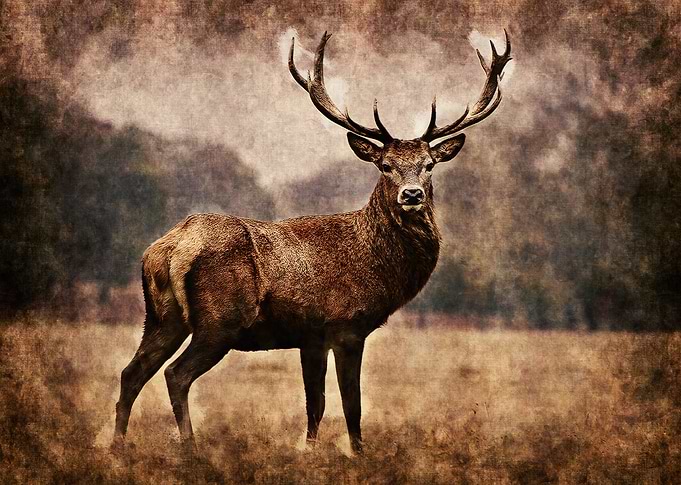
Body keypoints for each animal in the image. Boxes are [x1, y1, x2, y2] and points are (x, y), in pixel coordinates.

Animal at [113, 31, 512, 455]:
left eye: (429, 165)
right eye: (385, 165)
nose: (412, 194)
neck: (377, 266)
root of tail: (169, 249)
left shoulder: (311, 336)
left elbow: (315, 404)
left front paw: (309, 450)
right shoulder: (346, 325)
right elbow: (351, 404)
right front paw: (358, 454)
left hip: (161, 317)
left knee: (131, 373)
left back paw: (117, 446)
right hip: (220, 320)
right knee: (176, 374)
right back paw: (190, 446)